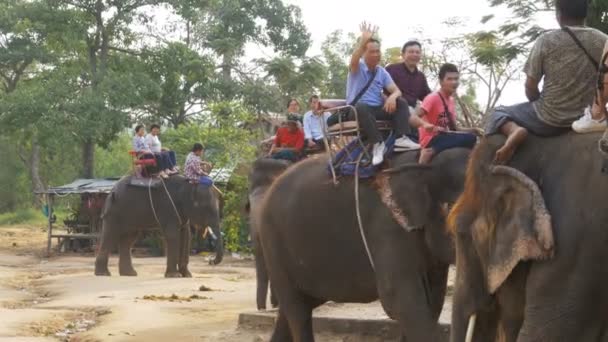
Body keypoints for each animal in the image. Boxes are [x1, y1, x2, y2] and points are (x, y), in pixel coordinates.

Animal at [256, 149, 470, 342]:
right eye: (452, 211)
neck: (424, 163)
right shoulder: (388, 228)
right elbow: (398, 300)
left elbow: (433, 301)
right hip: (273, 242)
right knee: (297, 310)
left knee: (295, 308)